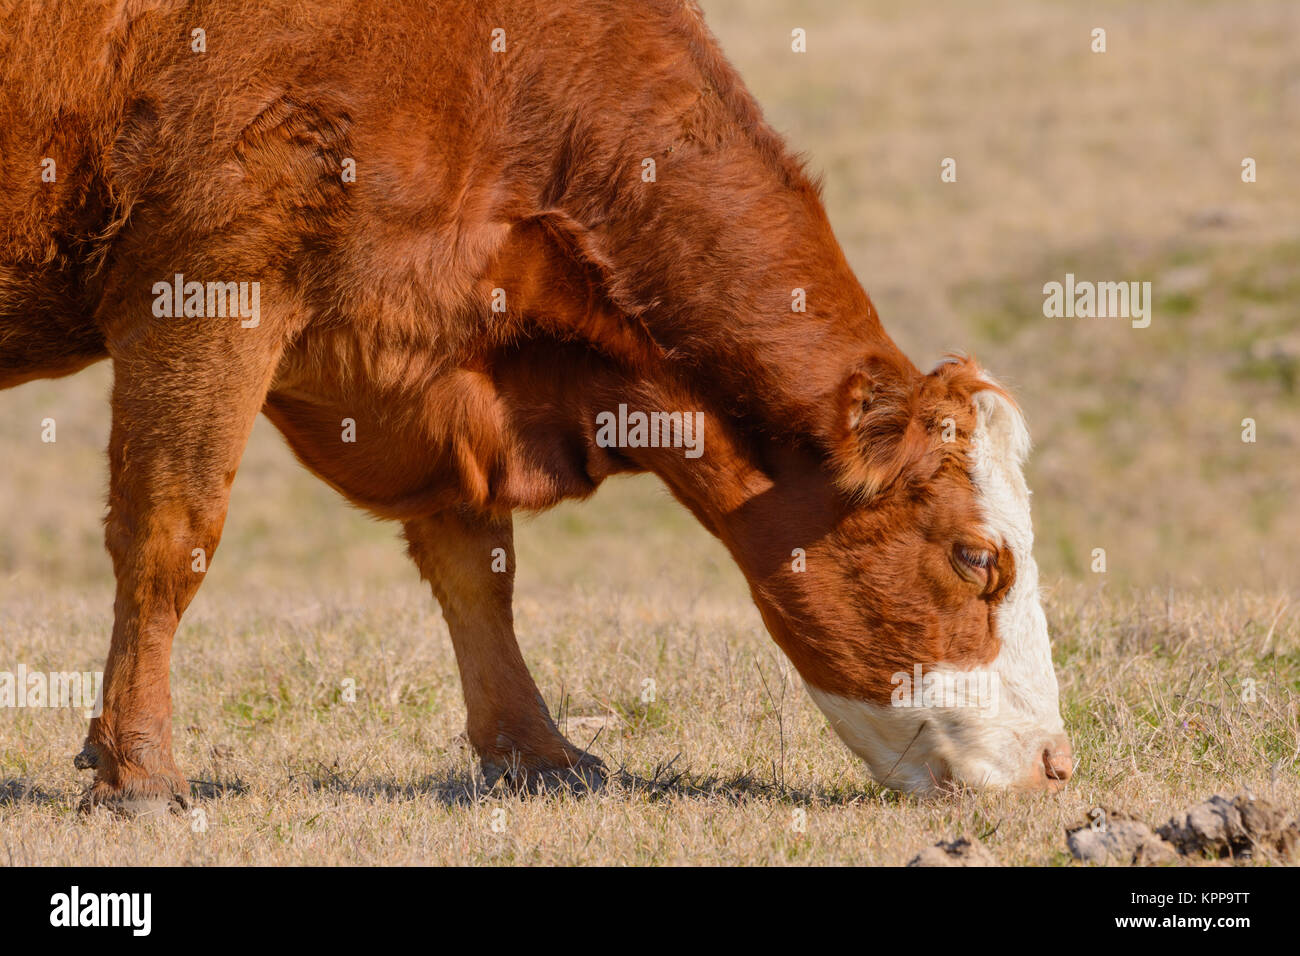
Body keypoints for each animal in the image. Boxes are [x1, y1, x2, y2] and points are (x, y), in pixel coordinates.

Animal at [0, 0, 1076, 816]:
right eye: (975, 558)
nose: (1058, 764)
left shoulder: (427, 365)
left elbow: (480, 571)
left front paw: (536, 751)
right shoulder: (206, 281)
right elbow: (169, 537)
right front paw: (139, 770)